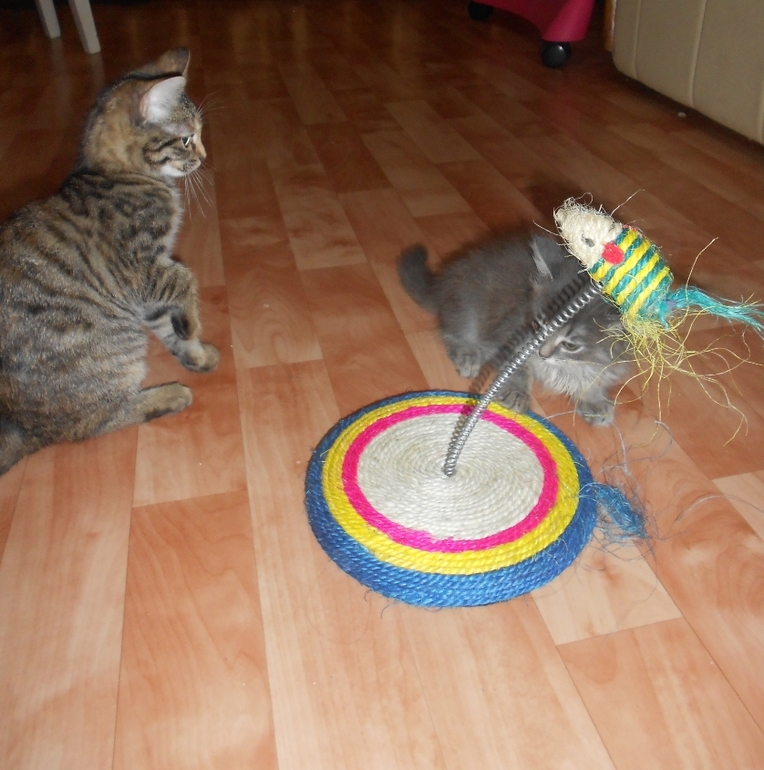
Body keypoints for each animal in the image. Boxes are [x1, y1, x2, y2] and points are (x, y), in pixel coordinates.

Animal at [0, 48, 218, 476]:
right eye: (187, 138)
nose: (203, 156)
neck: (115, 173)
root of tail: (22, 427)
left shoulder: (145, 291)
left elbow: (166, 323)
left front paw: (194, 352)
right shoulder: (144, 269)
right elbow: (186, 281)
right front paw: (191, 328)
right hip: (117, 341)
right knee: (90, 424)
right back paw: (167, 397)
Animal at [398, 233, 632, 425]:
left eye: (571, 345)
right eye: (538, 324)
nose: (541, 353)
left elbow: (594, 377)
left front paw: (594, 400)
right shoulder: (507, 332)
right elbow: (516, 367)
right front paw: (517, 392)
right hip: (468, 305)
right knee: (455, 332)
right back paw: (468, 354)